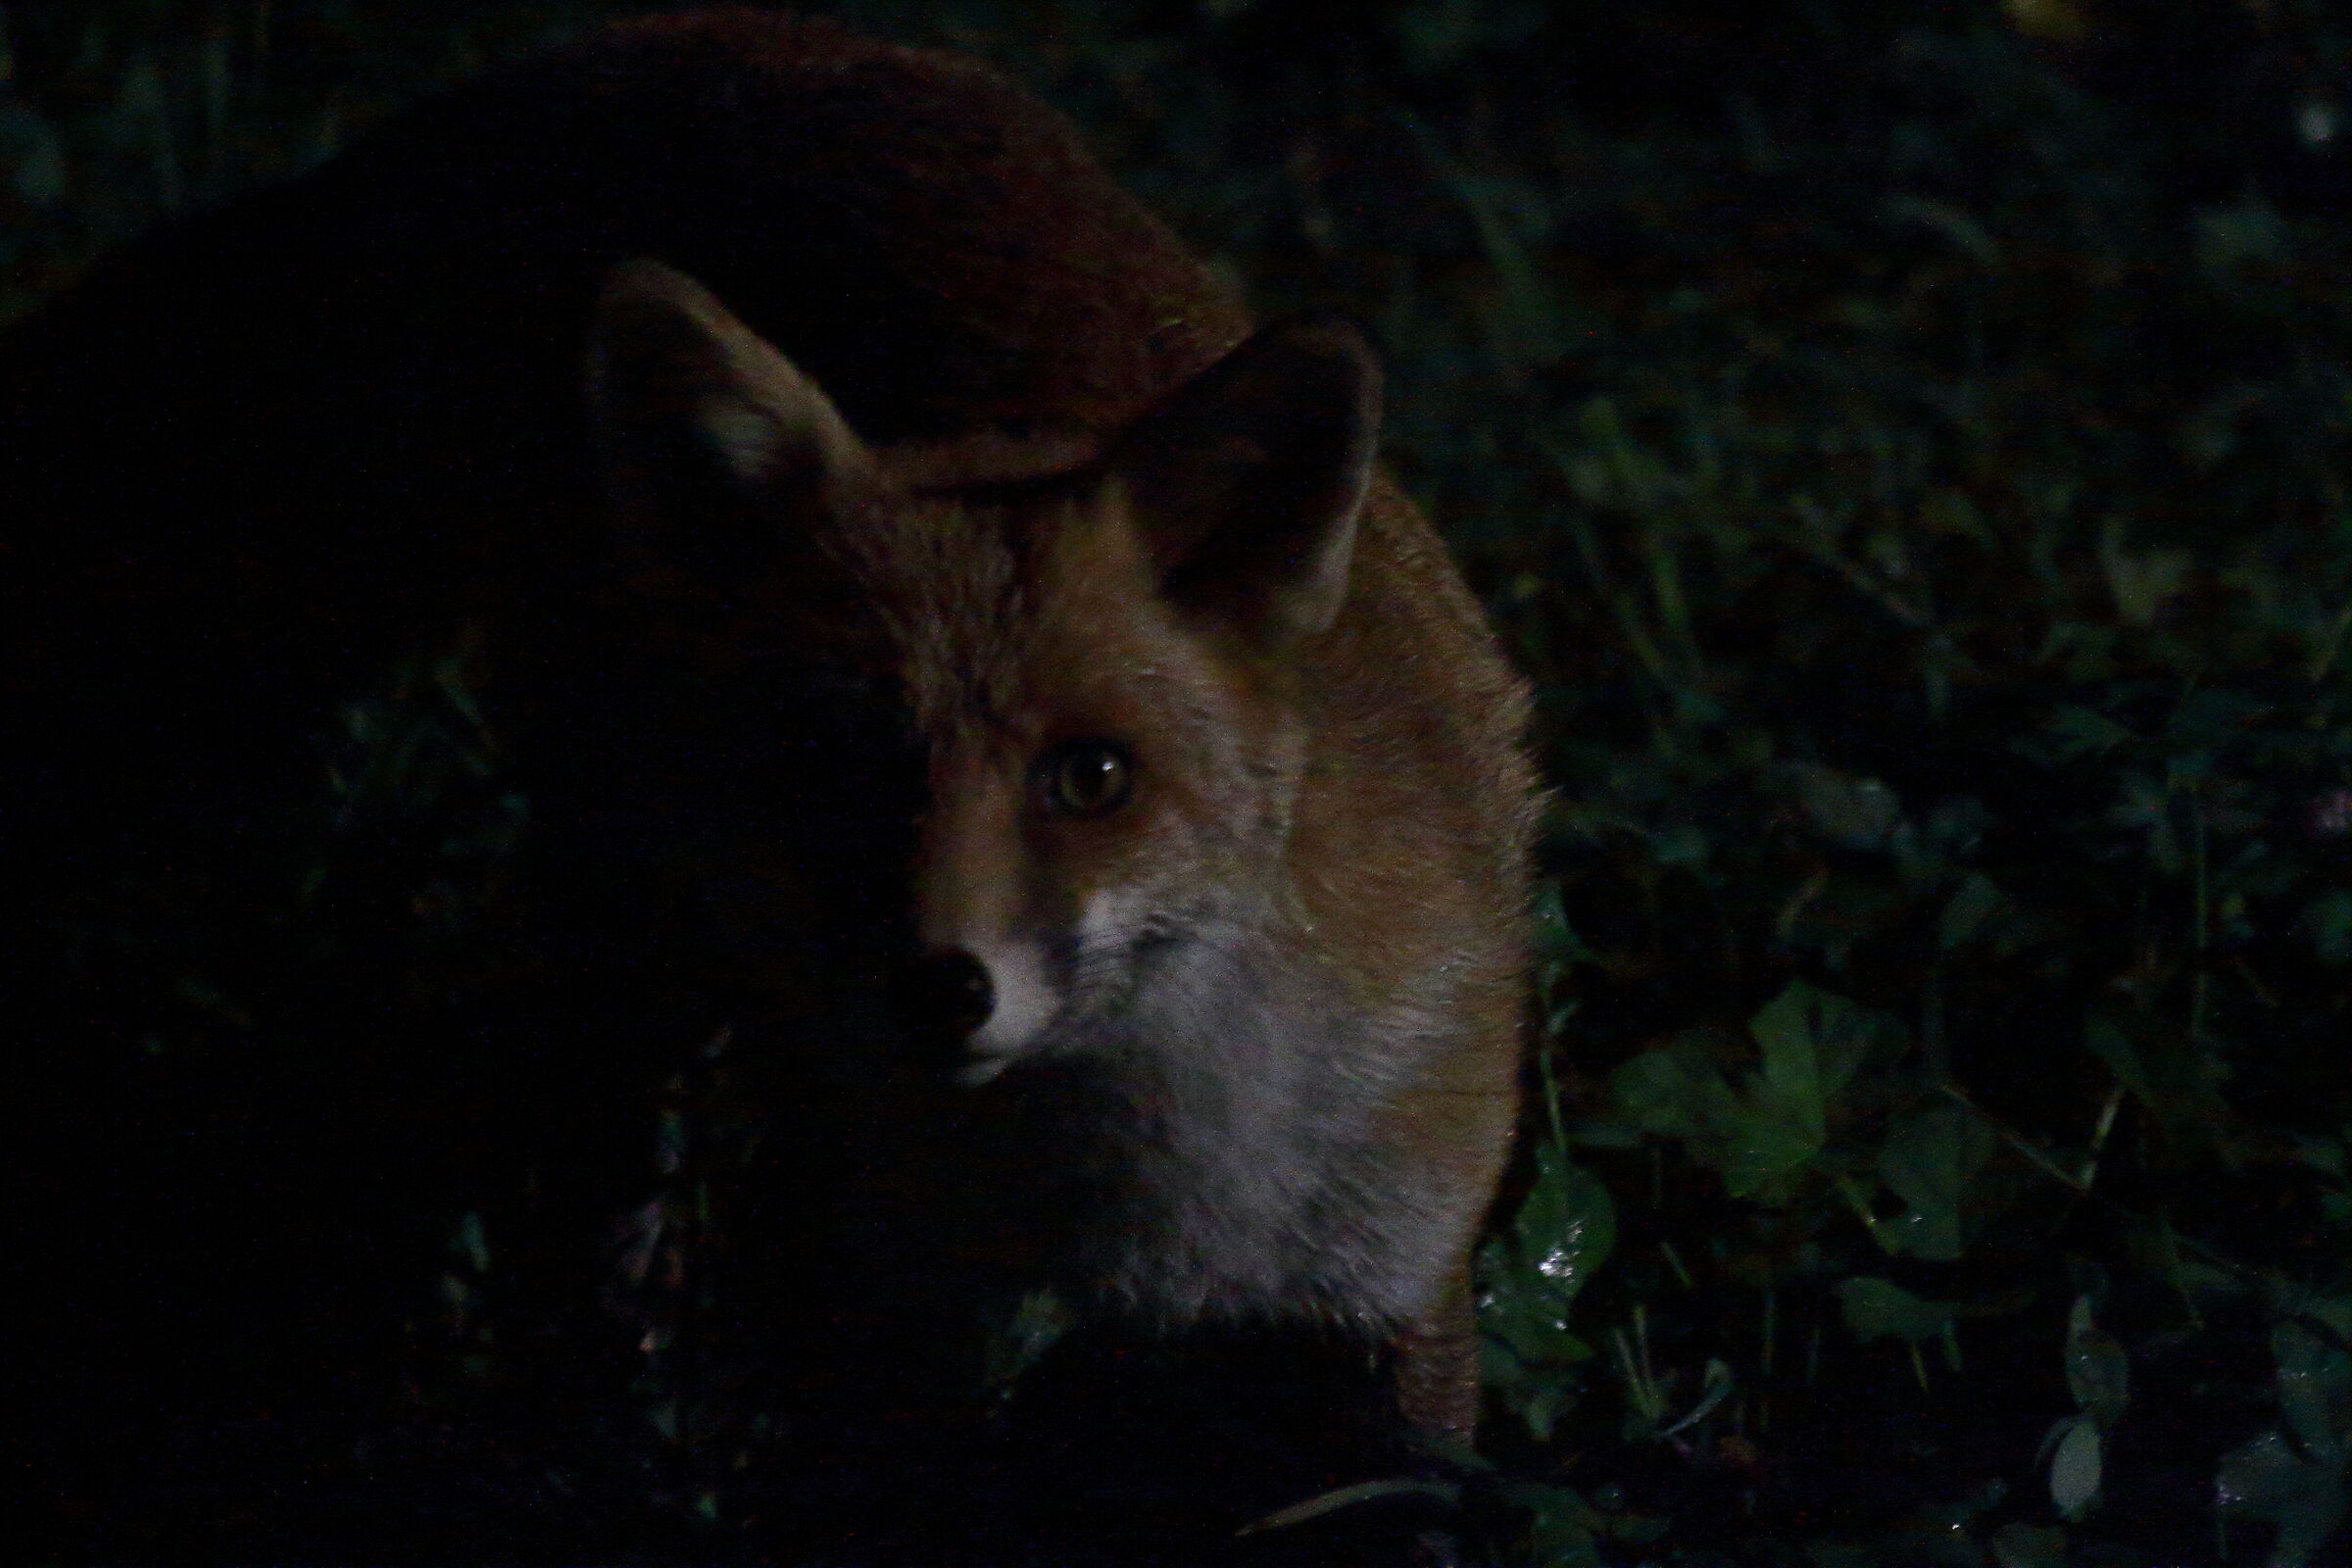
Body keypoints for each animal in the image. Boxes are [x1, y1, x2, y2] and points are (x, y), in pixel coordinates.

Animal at [4, 8, 1537, 1559]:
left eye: (1093, 776)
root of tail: (687, 34)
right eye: (828, 756)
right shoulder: (886, 1330)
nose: (940, 986)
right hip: (627, 899)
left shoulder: (1395, 1309)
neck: (1137, 1213)